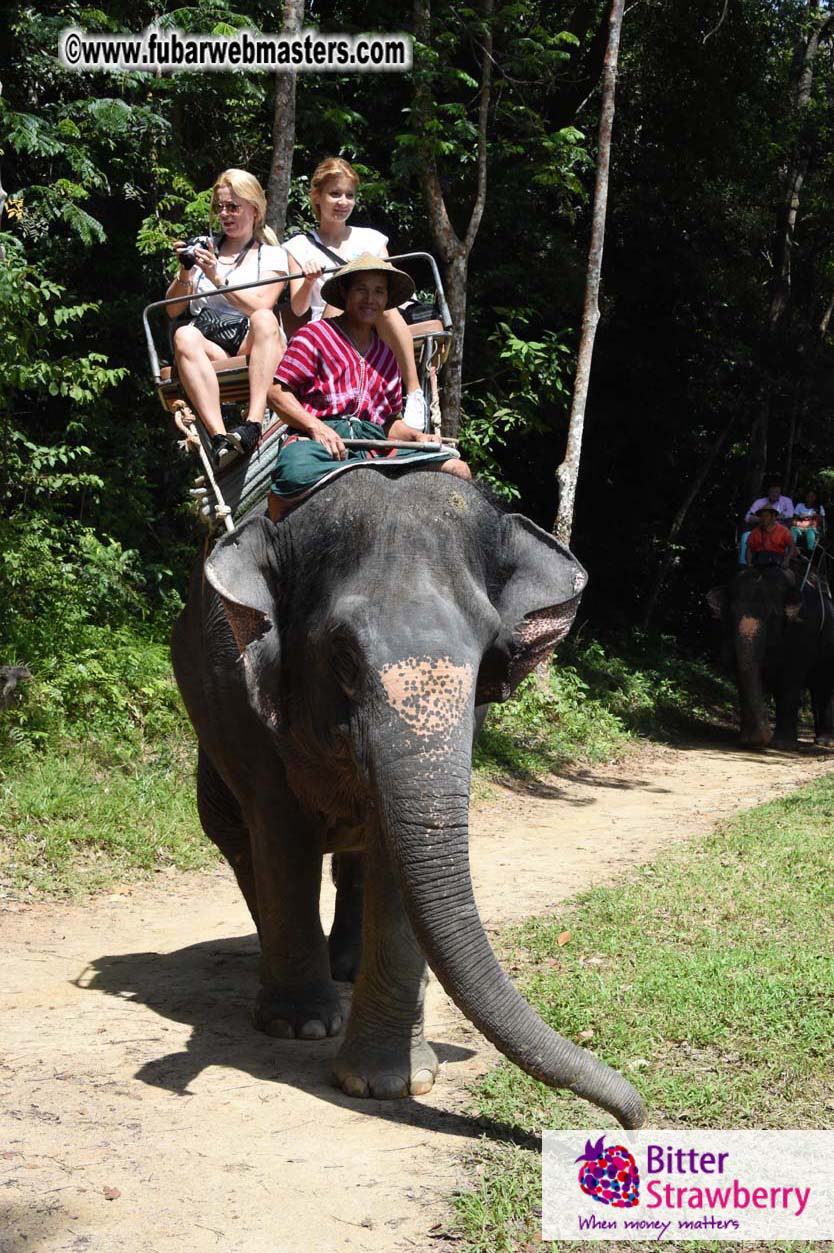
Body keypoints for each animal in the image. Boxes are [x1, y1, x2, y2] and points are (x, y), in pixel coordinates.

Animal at [171, 469, 645, 1129]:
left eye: (490, 653)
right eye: (343, 655)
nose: (633, 1118)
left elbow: (394, 850)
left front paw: (391, 1085)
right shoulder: (244, 696)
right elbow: (283, 832)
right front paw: (301, 1028)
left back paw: (345, 967)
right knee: (239, 839)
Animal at [707, 565, 834, 747]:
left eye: (772, 615)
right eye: (730, 614)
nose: (765, 738)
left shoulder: (805, 628)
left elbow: (790, 678)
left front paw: (782, 744)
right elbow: (743, 674)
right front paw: (748, 740)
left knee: (823, 684)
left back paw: (825, 741)